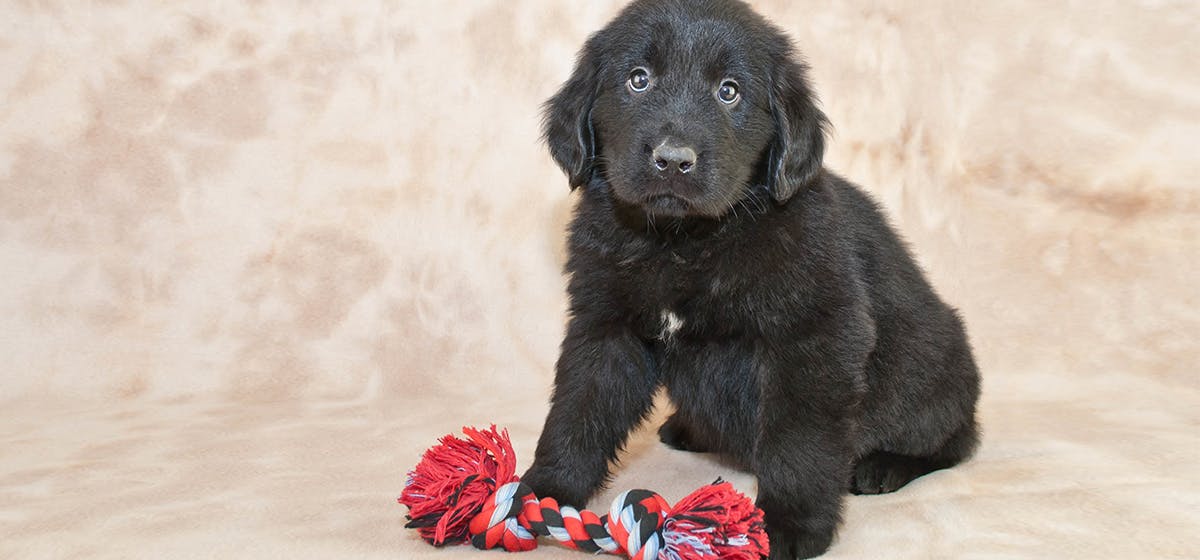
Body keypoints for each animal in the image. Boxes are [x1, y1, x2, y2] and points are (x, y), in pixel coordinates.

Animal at [520, 1, 979, 556]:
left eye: (729, 91)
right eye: (638, 79)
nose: (674, 160)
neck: (682, 242)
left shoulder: (814, 338)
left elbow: (797, 440)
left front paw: (786, 525)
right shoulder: (606, 328)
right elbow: (577, 411)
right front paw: (540, 496)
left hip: (934, 369)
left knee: (954, 440)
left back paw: (885, 466)